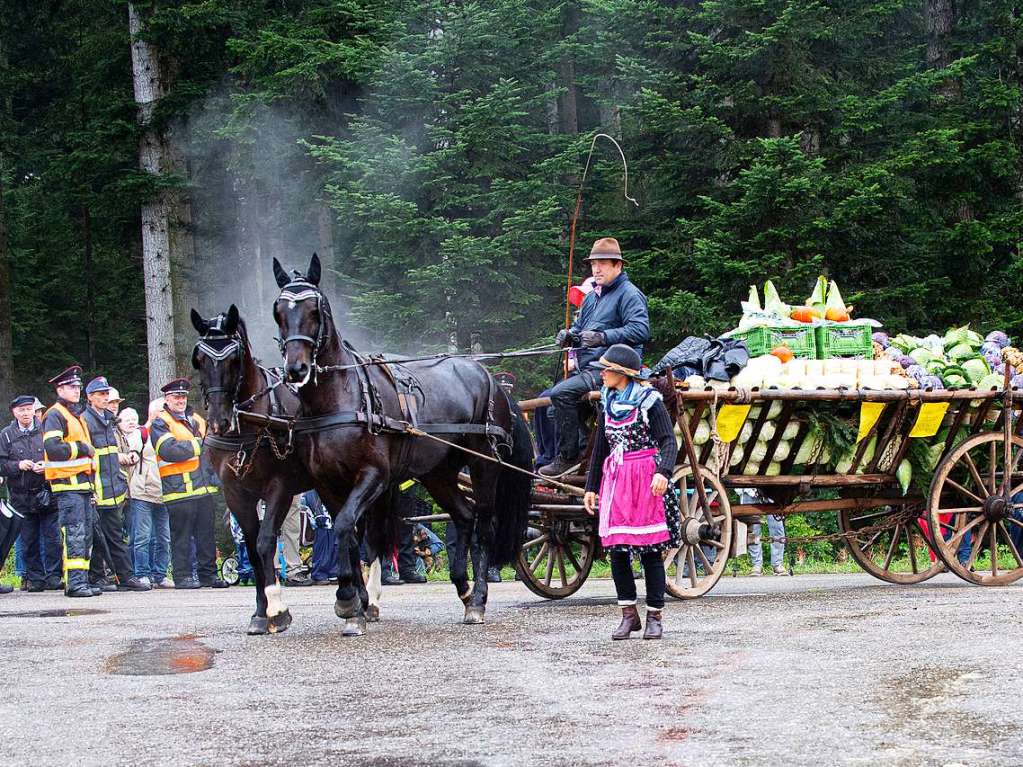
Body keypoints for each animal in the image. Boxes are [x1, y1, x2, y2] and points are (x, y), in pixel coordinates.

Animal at [190, 306, 384, 638]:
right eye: (200, 359)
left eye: (234, 358)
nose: (219, 421)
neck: (252, 423)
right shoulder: (235, 493)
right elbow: (252, 548)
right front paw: (260, 612)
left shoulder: (278, 489)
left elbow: (265, 541)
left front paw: (277, 610)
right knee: (351, 537)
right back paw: (357, 598)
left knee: (367, 538)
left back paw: (367, 600)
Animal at [272, 255, 531, 625]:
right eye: (278, 310)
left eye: (314, 308)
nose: (296, 369)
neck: (341, 398)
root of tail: (492, 380)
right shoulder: (326, 483)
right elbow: (349, 535)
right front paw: (360, 600)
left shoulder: (374, 476)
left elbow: (345, 526)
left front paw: (348, 599)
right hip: (438, 473)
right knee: (463, 516)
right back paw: (462, 587)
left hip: (483, 463)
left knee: (483, 524)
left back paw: (478, 599)